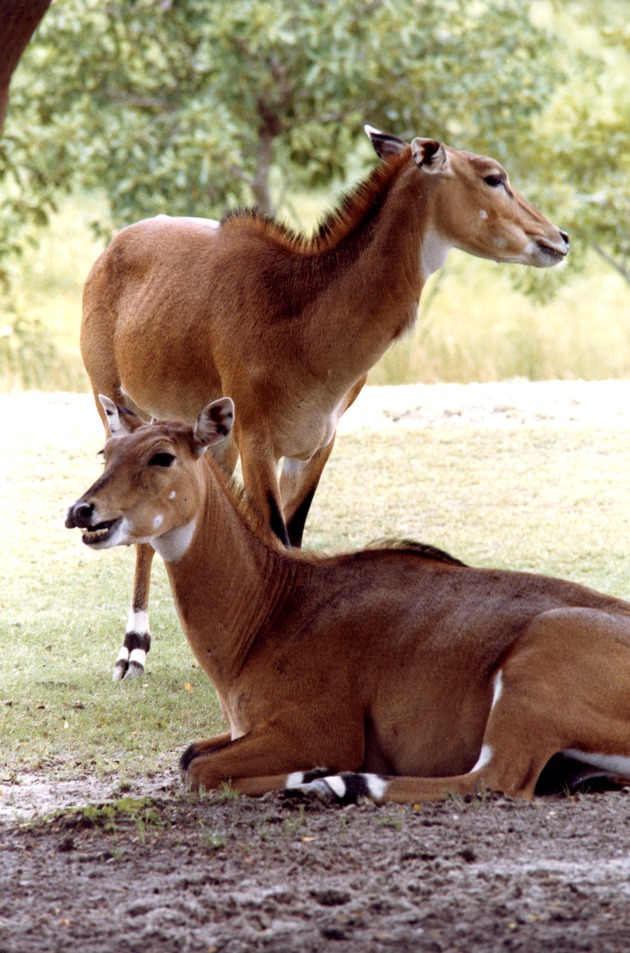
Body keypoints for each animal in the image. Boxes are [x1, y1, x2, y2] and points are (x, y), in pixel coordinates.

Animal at [65, 398, 630, 800]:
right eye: (106, 453)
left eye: (162, 456)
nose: (81, 510)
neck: (271, 610)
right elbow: (188, 755)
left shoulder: (322, 730)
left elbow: (199, 769)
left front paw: (310, 773)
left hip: (534, 670)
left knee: (494, 779)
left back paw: (337, 783)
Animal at [81, 124, 572, 676]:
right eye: (493, 177)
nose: (559, 239)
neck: (303, 311)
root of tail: (114, 246)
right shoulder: (257, 441)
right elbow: (273, 534)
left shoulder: (316, 444)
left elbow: (289, 537)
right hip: (117, 405)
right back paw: (133, 647)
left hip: (211, 441)